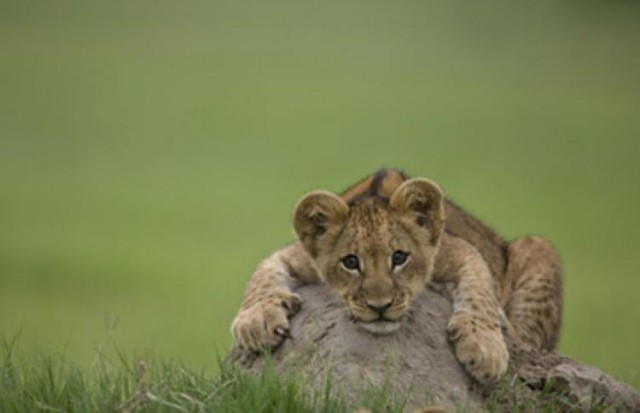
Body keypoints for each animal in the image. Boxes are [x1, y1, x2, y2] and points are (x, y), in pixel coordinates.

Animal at [231, 169, 562, 383]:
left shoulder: (457, 249)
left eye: (400, 258)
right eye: (351, 262)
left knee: (526, 338)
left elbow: (480, 286)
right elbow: (262, 275)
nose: (380, 307)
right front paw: (255, 322)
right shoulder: (296, 255)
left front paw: (484, 347)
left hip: (539, 247)